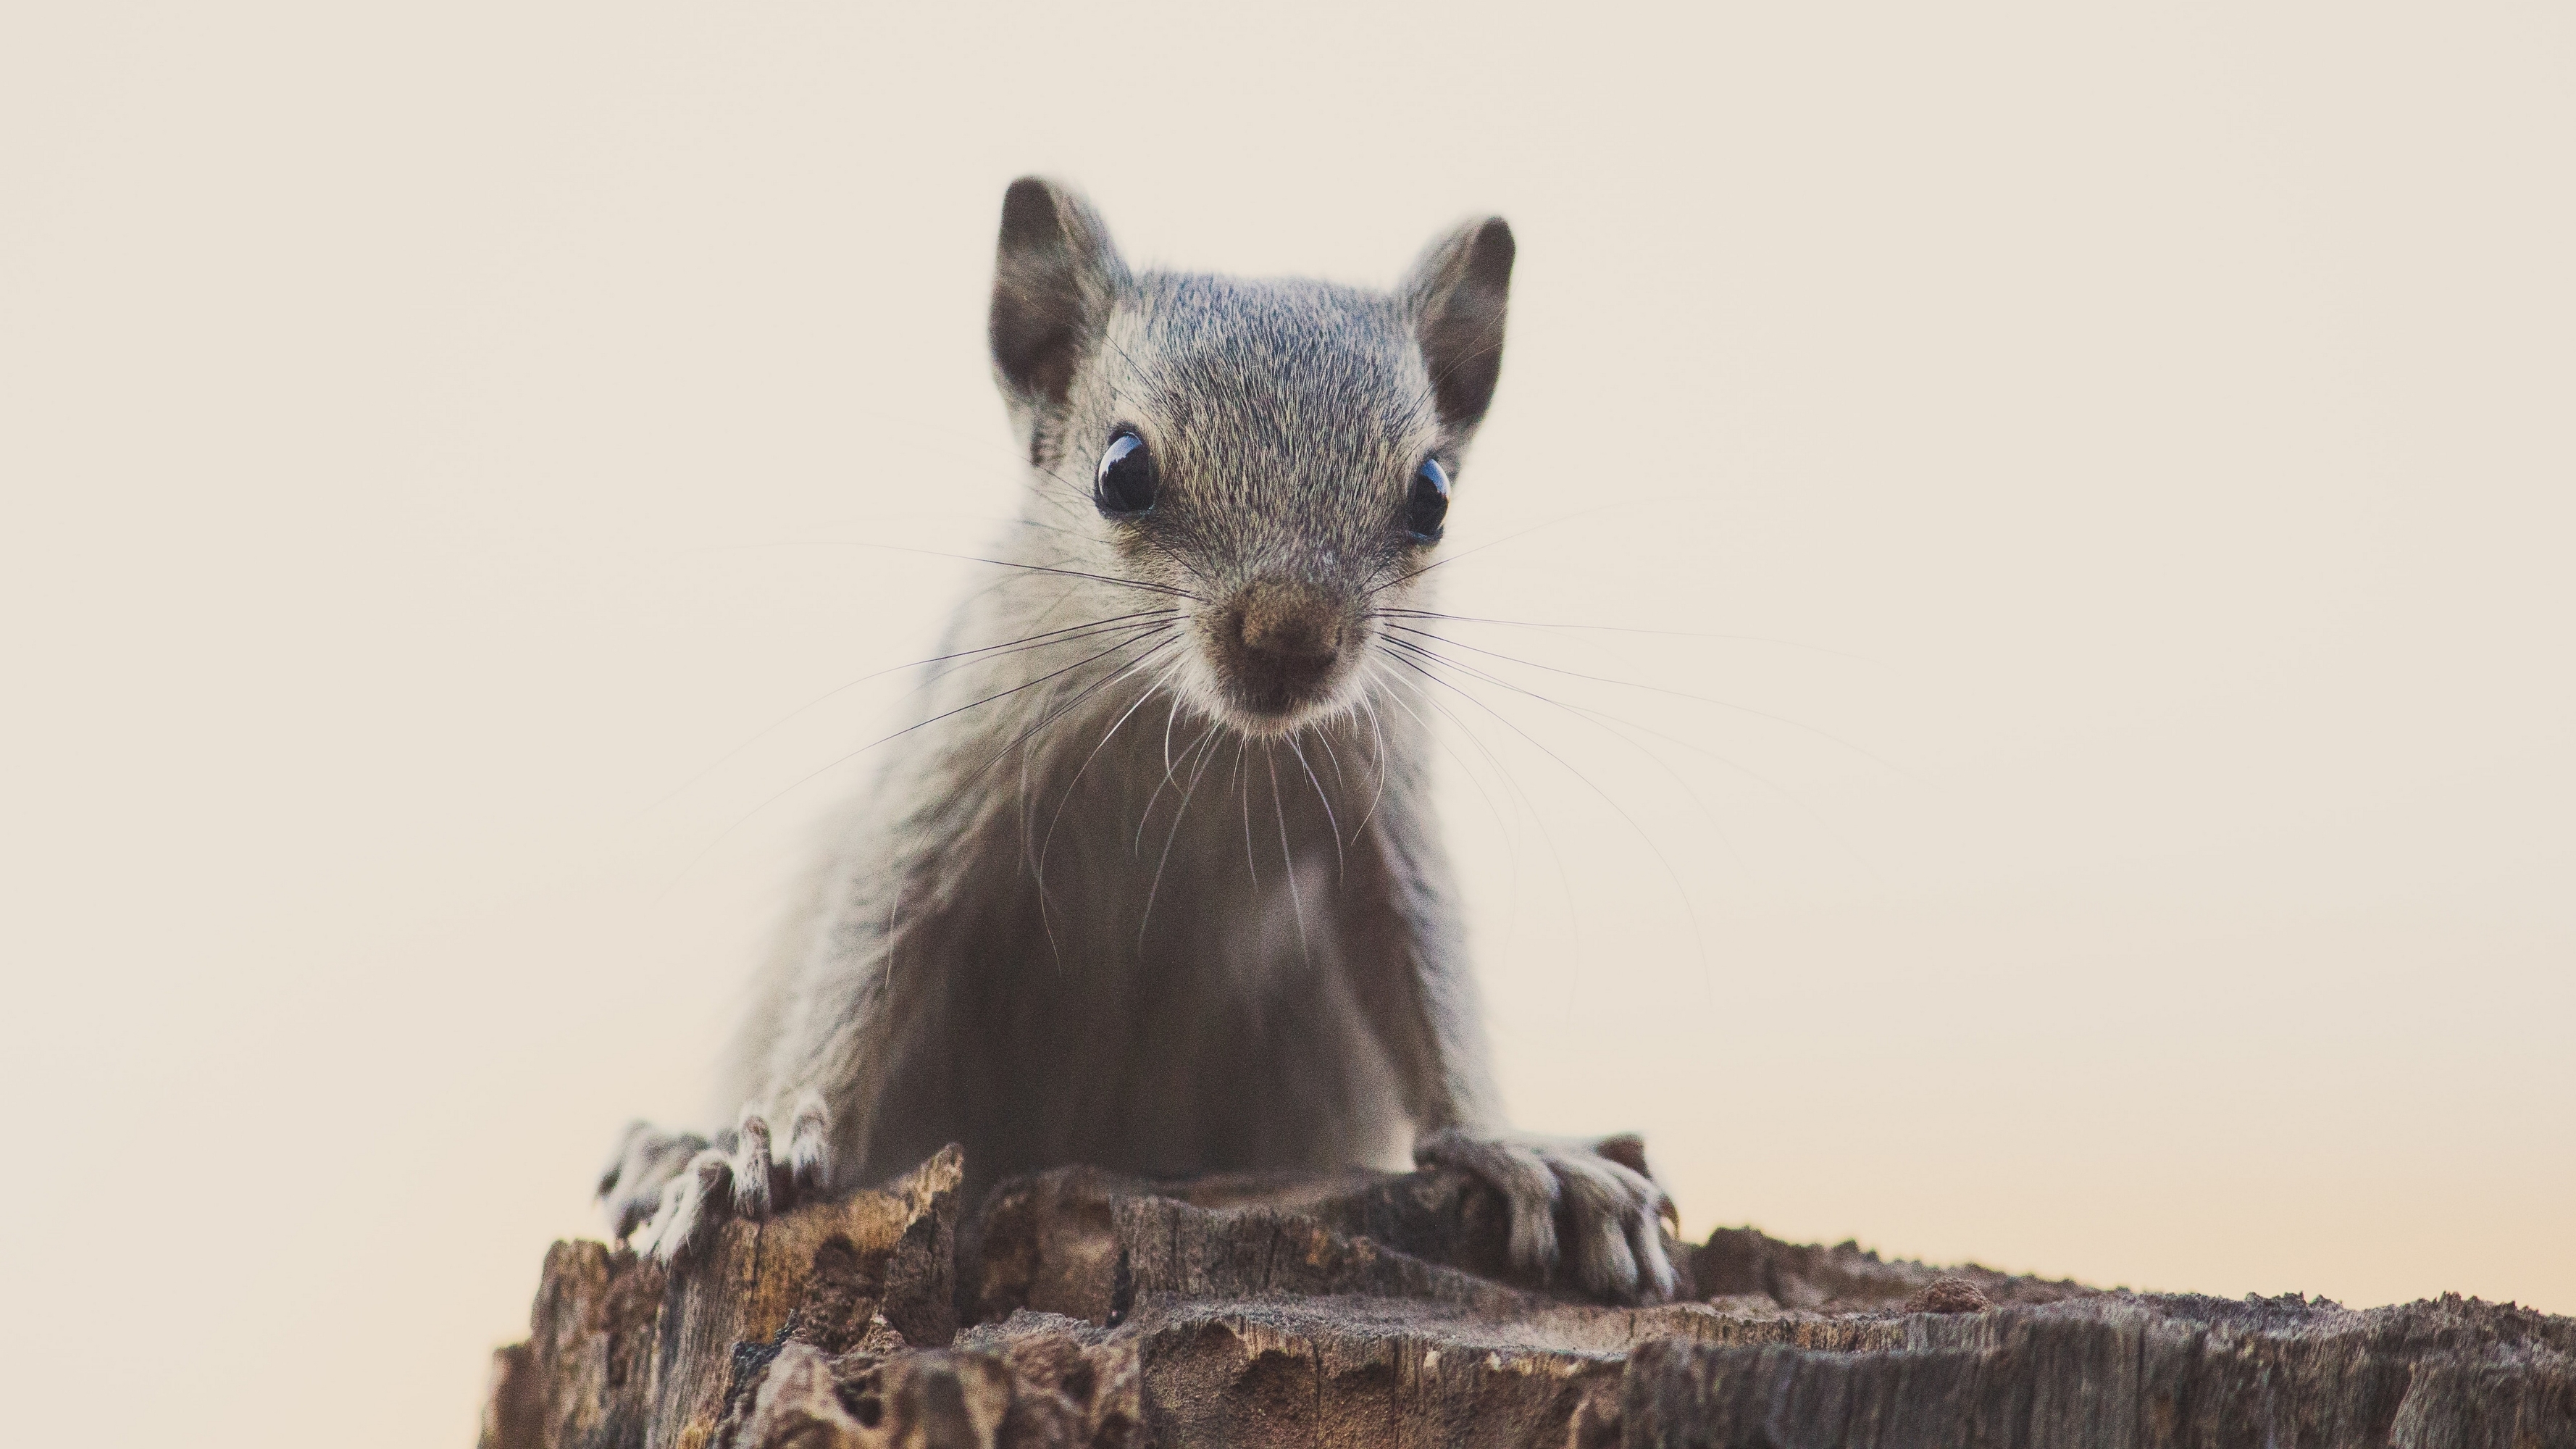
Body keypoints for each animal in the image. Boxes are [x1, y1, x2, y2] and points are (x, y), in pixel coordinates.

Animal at [605, 178, 1689, 1299]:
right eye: (1122, 470)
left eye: (1432, 495)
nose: (1291, 636)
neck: (1204, 734)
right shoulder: (957, 764)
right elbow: (876, 929)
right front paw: (768, 1143)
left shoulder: (1381, 799)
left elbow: (1421, 962)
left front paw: (1513, 1148)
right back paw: (670, 1148)